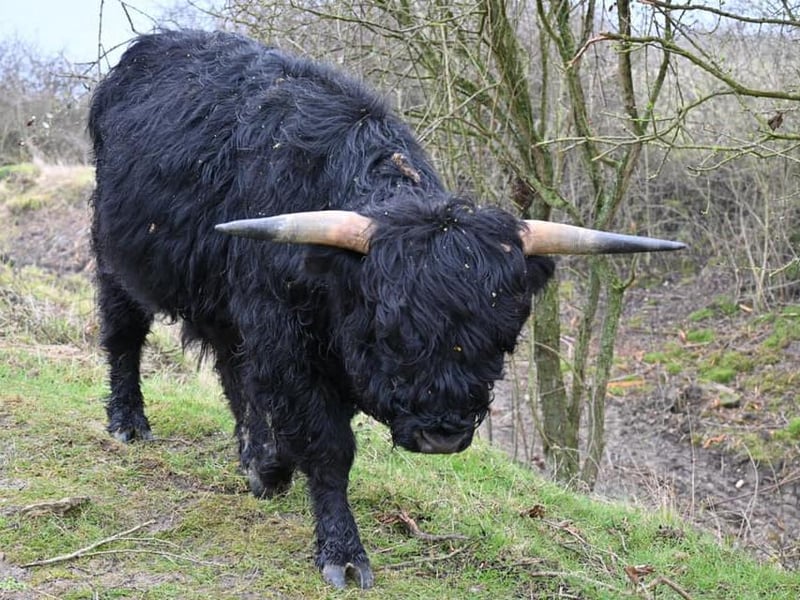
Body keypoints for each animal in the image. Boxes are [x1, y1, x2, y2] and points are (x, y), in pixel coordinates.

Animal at [88, 29, 683, 589]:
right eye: (389, 331)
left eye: (502, 337)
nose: (443, 434)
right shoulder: (286, 341)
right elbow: (328, 447)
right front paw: (343, 553)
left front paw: (271, 466)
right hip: (114, 257)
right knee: (125, 335)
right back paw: (129, 422)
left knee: (234, 372)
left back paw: (257, 460)